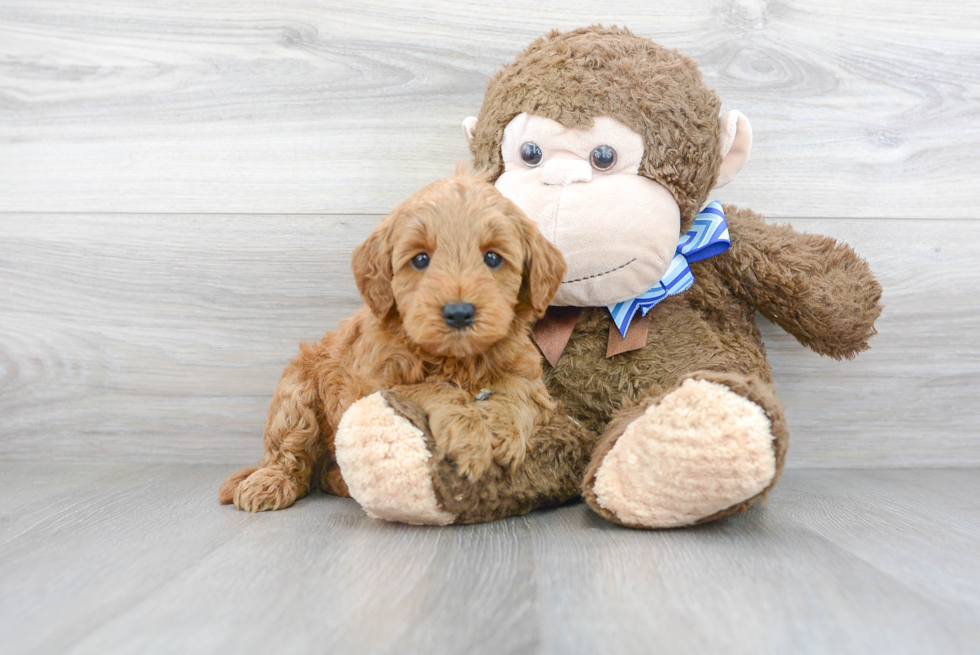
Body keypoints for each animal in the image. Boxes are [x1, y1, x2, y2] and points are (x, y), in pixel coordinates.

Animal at [218, 169, 564, 512]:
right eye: (421, 260)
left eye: (492, 258)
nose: (459, 313)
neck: (457, 359)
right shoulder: (376, 385)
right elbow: (432, 387)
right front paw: (468, 435)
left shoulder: (529, 379)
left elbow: (516, 393)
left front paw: (501, 432)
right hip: (294, 394)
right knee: (289, 453)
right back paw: (268, 483)